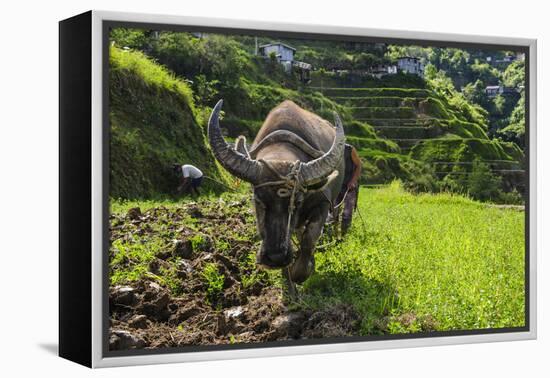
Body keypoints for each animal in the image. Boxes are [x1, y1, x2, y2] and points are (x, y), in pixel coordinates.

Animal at [207, 99, 344, 290]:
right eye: (258, 199)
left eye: (297, 202)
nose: (276, 257)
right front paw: (289, 276)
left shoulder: (323, 203)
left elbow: (309, 238)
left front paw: (301, 271)